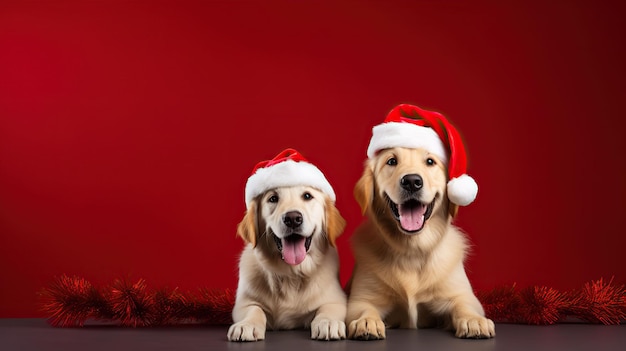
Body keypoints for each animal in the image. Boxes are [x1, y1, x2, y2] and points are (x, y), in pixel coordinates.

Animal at [228, 150, 346, 342]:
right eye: (273, 198)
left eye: (307, 196)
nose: (292, 218)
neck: (291, 274)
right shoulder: (243, 304)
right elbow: (254, 309)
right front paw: (246, 325)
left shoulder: (336, 299)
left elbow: (328, 308)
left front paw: (328, 323)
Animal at [344, 105, 494, 340]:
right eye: (391, 161)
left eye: (430, 162)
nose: (412, 181)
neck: (412, 250)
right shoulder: (361, 298)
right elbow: (364, 308)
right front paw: (366, 322)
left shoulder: (461, 294)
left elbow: (465, 305)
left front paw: (474, 321)